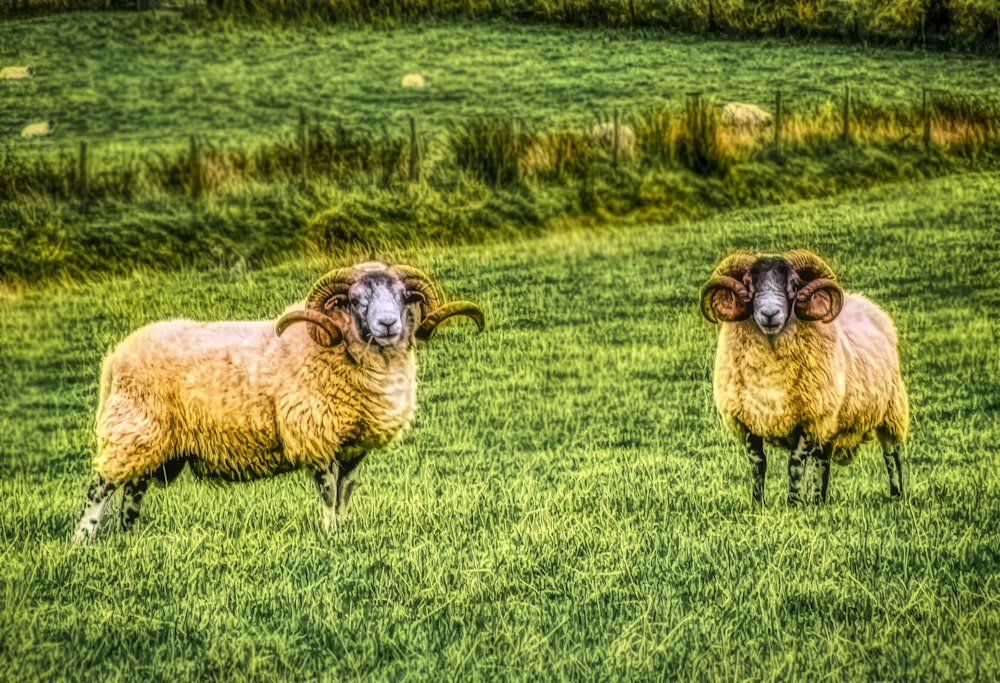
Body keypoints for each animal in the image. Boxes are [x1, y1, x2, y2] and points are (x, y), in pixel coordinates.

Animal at [74, 260, 484, 540]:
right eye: (355, 300)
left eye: (402, 296)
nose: (388, 324)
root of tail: (116, 356)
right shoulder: (316, 437)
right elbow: (328, 492)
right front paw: (330, 533)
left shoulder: (352, 447)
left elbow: (345, 492)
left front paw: (345, 530)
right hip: (131, 430)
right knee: (100, 487)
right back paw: (84, 539)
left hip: (151, 441)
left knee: (132, 490)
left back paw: (128, 536)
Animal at [704, 251, 908, 508]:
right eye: (748, 284)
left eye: (795, 284)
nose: (769, 313)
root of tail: (867, 304)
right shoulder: (749, 421)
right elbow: (759, 465)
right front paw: (758, 502)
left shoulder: (810, 419)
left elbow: (795, 465)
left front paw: (793, 503)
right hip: (832, 421)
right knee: (822, 461)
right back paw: (818, 500)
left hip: (890, 410)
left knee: (892, 455)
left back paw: (897, 494)